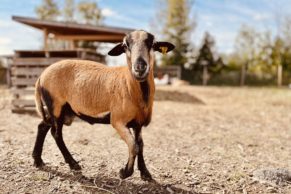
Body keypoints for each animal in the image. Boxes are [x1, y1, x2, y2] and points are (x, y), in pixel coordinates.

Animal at [32, 29, 175, 180]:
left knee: (43, 126)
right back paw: (73, 164)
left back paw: (38, 160)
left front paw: (145, 173)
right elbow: (133, 145)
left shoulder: (138, 123)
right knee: (56, 134)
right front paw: (125, 172)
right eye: (125, 46)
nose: (140, 68)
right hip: (56, 106)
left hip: (59, 109)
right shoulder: (117, 120)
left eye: (152, 44)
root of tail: (41, 76)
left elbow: (140, 145)